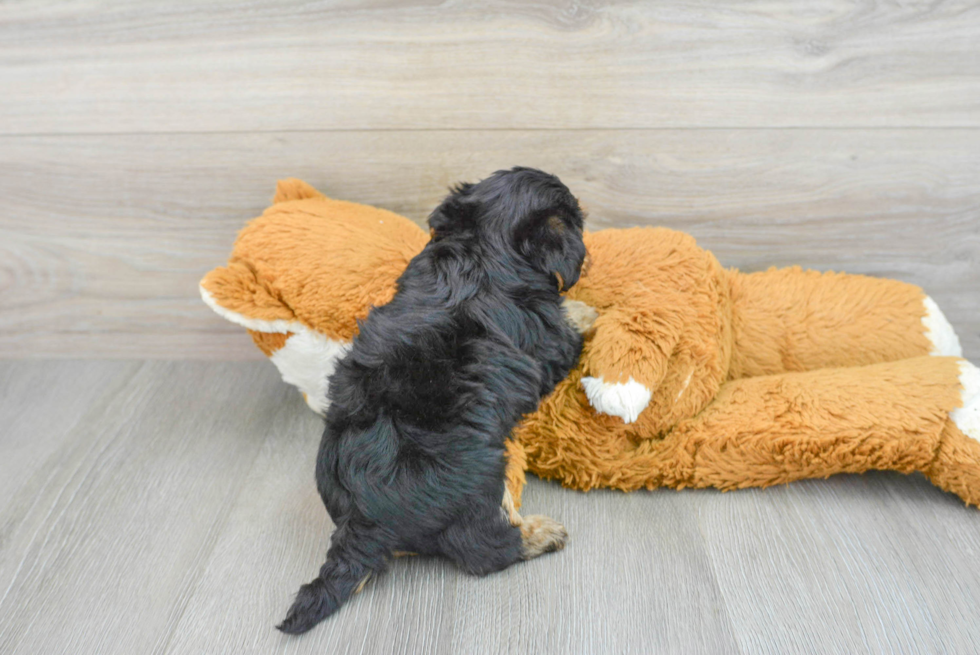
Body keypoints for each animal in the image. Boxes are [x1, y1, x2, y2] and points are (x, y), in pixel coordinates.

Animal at [276, 165, 584, 636]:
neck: (482, 248)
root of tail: (360, 522)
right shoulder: (550, 343)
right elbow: (572, 327)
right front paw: (588, 310)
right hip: (484, 473)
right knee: (484, 548)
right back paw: (538, 535)